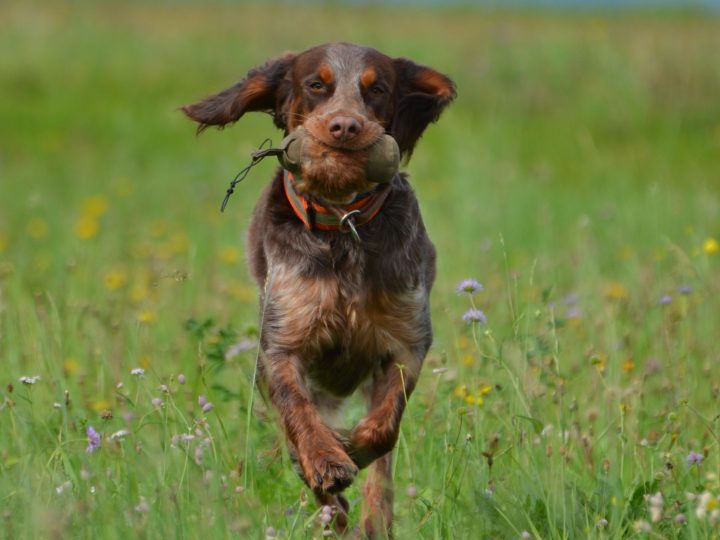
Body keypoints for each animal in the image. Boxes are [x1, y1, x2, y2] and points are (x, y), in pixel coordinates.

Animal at [186, 42, 456, 536]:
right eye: (316, 85)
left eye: (377, 89)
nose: (345, 126)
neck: (342, 226)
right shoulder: (281, 344)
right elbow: (297, 411)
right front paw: (324, 460)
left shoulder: (408, 340)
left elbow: (384, 427)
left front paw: (350, 449)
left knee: (383, 470)